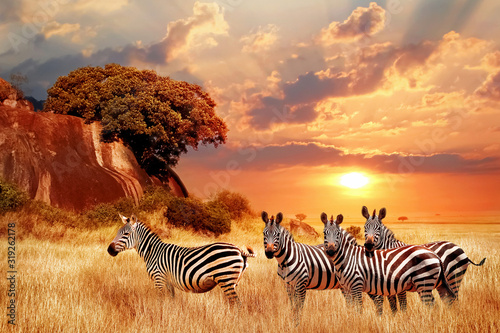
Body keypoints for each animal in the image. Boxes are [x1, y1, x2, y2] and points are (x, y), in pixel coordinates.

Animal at [105, 214, 254, 304]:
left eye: (126, 234)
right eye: (118, 232)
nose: (109, 250)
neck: (152, 252)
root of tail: (238, 249)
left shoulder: (158, 278)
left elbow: (160, 300)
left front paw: (159, 315)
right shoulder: (168, 281)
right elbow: (171, 300)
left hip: (226, 279)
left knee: (237, 304)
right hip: (232, 282)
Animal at [320, 211, 458, 312]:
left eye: (337, 234)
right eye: (324, 233)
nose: (330, 252)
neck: (347, 258)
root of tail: (435, 255)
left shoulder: (357, 286)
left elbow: (359, 309)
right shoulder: (347, 288)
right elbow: (352, 309)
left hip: (425, 282)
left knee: (431, 305)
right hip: (437, 284)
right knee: (444, 302)